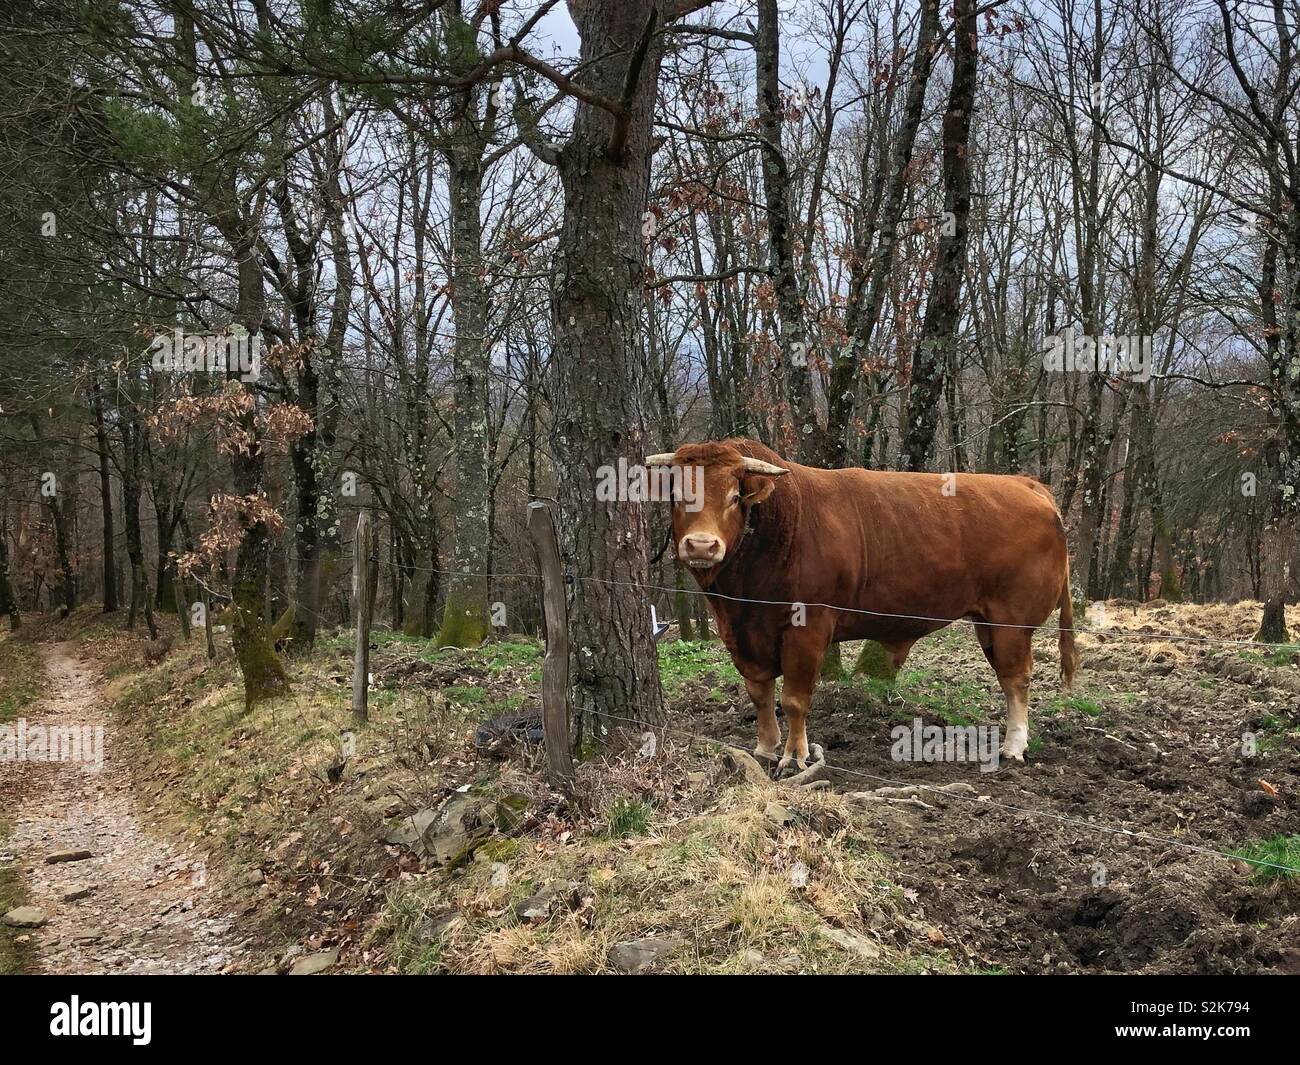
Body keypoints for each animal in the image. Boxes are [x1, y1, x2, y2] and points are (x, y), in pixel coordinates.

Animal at [645, 439, 1079, 773]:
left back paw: (1013, 746)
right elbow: (760, 693)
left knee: (1017, 679)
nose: (702, 545)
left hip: (1012, 620)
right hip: (987, 621)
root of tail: (1024, 483)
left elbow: (794, 699)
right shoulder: (744, 635)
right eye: (677, 496)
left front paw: (794, 756)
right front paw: (766, 748)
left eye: (735, 497)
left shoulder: (807, 628)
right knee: (1009, 677)